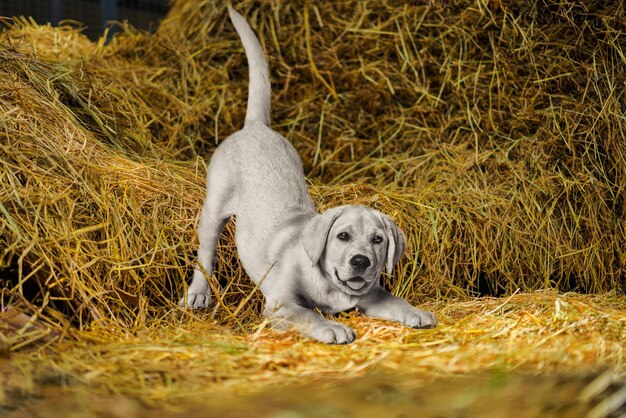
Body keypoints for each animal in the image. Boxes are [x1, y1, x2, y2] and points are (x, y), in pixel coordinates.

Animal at [180, 6, 434, 344]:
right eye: (342, 236)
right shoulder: (281, 303)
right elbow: (309, 314)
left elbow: (395, 300)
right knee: (206, 253)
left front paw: (416, 311)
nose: (361, 261)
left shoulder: (372, 294)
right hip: (215, 207)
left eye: (378, 240)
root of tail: (256, 126)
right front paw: (334, 327)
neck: (330, 283)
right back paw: (198, 293)